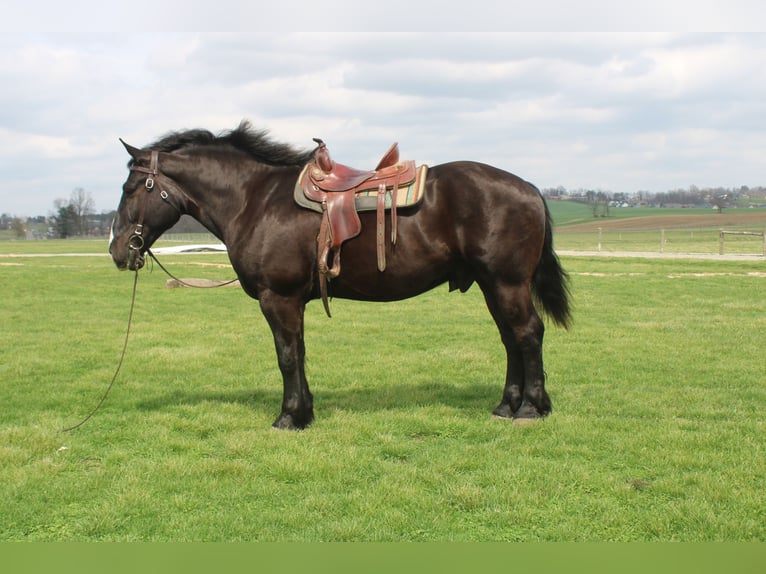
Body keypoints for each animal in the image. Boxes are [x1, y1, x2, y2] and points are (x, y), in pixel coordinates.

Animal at [109, 121, 571, 430]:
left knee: (527, 334)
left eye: (130, 188)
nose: (117, 250)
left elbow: (286, 355)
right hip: (493, 285)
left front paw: (289, 417)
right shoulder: (291, 302)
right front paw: (305, 411)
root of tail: (529, 188)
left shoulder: (278, 298)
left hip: (507, 283)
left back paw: (531, 408)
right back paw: (507, 405)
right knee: (510, 339)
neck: (255, 200)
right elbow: (299, 353)